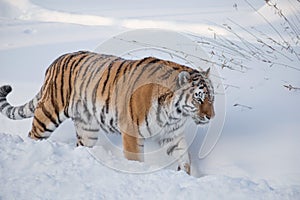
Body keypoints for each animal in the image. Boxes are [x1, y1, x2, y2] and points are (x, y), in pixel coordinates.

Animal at [0, 50, 216, 174]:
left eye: (212, 98)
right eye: (199, 98)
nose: (211, 116)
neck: (174, 113)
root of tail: (54, 62)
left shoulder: (173, 135)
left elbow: (184, 157)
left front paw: (185, 175)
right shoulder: (131, 131)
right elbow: (135, 159)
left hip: (87, 129)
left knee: (82, 145)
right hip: (49, 112)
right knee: (33, 134)